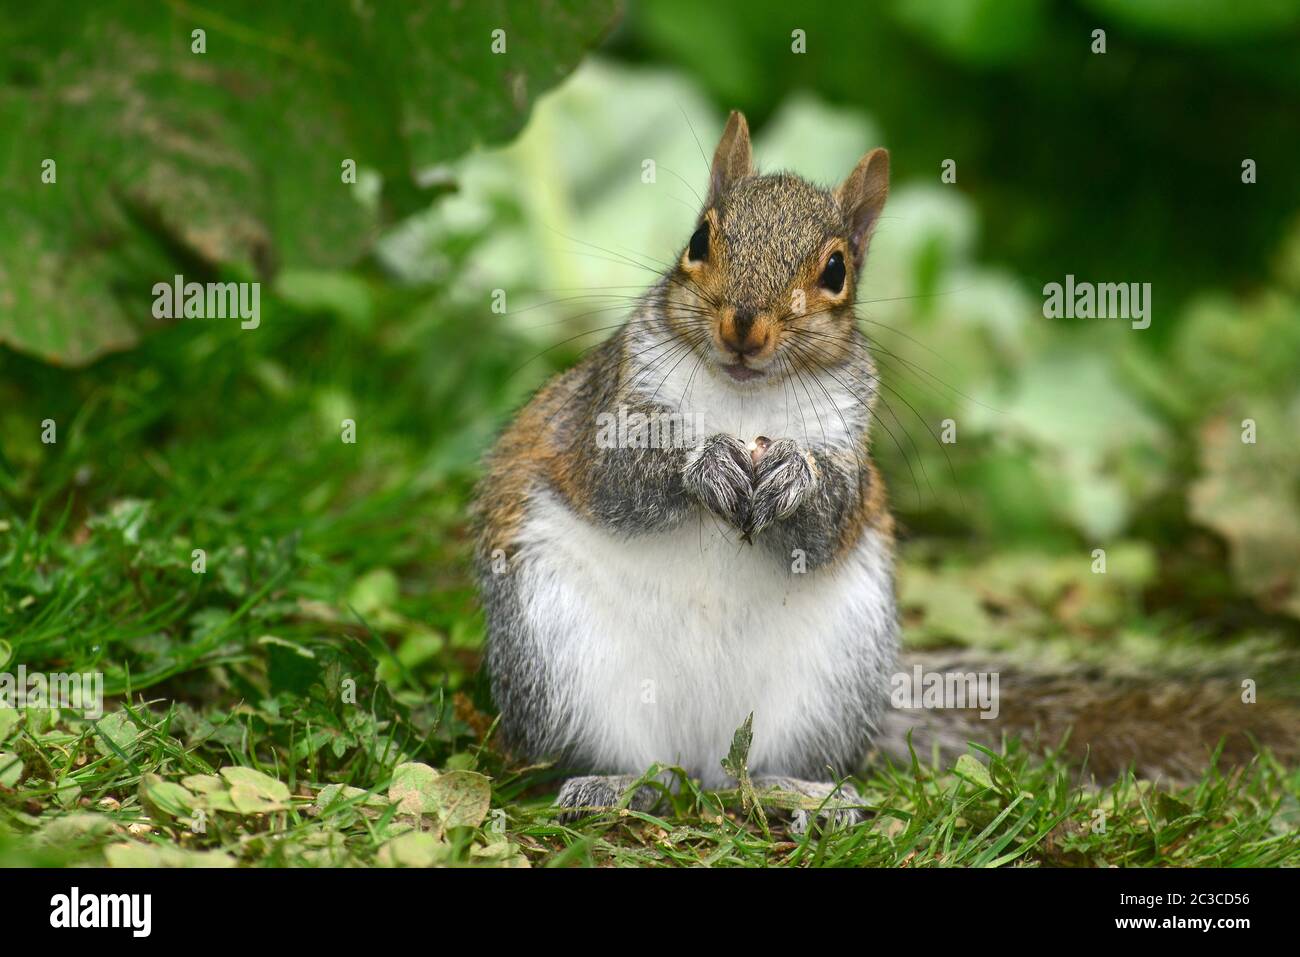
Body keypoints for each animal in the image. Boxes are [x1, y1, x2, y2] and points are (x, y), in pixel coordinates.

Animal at [474, 112, 1299, 827]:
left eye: (836, 270)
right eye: (699, 238)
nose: (744, 325)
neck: (747, 397)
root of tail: (698, 756)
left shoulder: (850, 440)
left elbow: (830, 518)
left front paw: (795, 477)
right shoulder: (603, 411)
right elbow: (617, 479)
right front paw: (702, 462)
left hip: (829, 675)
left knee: (753, 773)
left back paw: (804, 794)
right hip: (563, 659)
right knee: (635, 760)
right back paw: (617, 784)